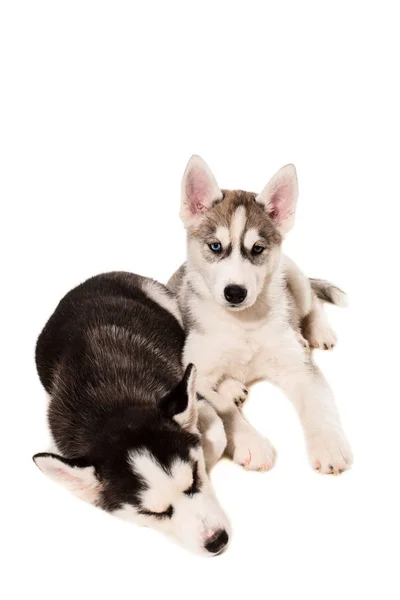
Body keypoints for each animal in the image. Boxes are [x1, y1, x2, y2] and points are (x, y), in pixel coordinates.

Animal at [33, 274, 231, 556]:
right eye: (153, 513)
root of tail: (92, 279)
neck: (112, 409)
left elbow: (214, 437)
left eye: (193, 480)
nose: (217, 541)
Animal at [170, 157, 352, 476]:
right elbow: (224, 407)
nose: (235, 293)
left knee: (312, 300)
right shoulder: (195, 373)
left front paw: (329, 445)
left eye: (257, 249)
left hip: (293, 276)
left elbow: (318, 403)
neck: (243, 323)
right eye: (215, 246)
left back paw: (317, 332)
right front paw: (251, 443)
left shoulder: (299, 369)